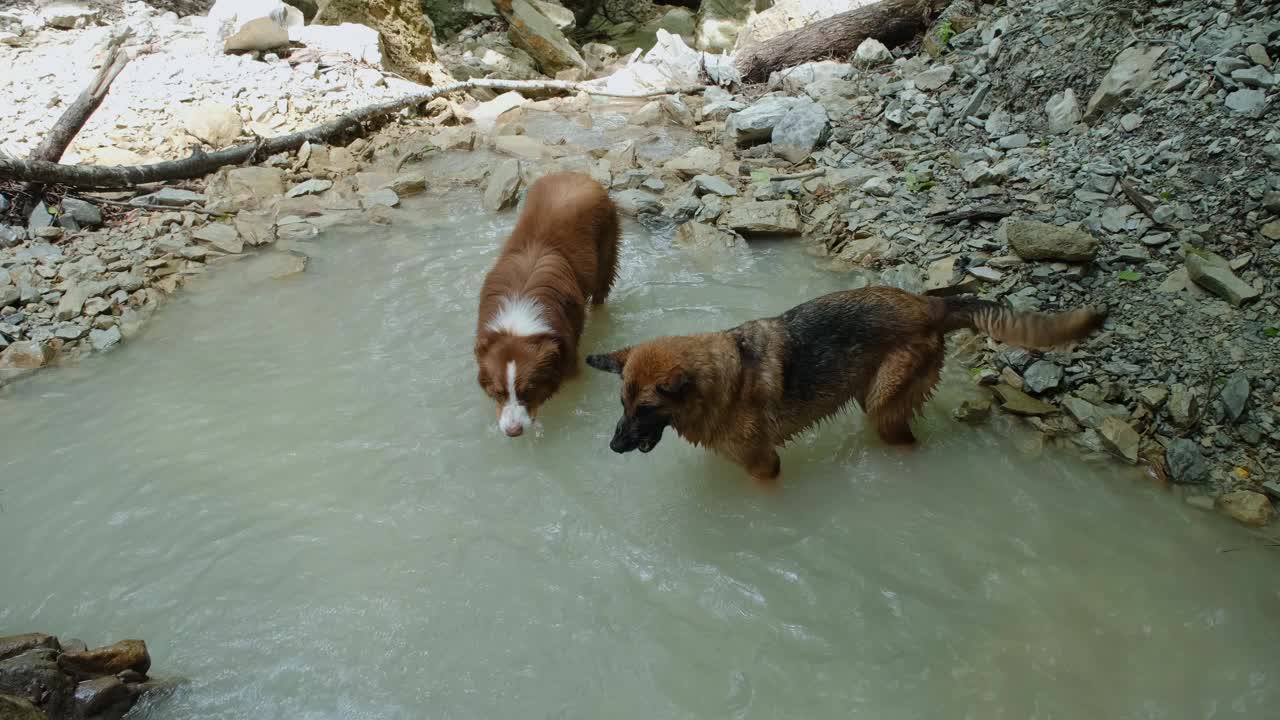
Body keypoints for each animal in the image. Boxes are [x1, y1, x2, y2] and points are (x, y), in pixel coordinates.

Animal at [478, 170, 622, 435]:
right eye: (498, 393)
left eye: (528, 391)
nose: (513, 432)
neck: (518, 321)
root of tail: (577, 173)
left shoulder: (568, 354)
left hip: (606, 249)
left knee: (601, 289)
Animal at [586, 288, 1100, 484]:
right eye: (622, 403)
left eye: (646, 409)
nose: (611, 447)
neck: (723, 381)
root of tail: (930, 305)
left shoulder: (765, 466)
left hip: (882, 404)